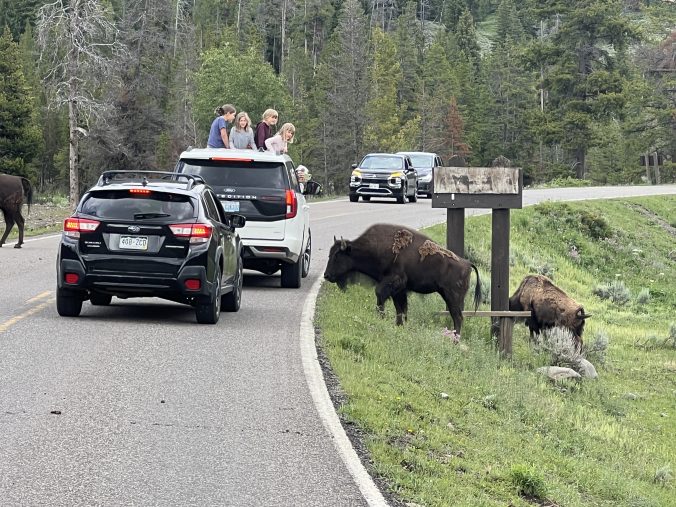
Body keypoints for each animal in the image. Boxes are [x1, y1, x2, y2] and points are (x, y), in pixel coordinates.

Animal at [323, 223, 481, 333]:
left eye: (337, 255)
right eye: (330, 254)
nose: (326, 275)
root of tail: (467, 263)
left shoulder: (393, 282)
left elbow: (381, 296)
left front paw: (381, 317)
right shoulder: (399, 291)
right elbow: (401, 308)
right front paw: (400, 325)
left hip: (452, 297)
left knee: (458, 317)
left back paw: (455, 340)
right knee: (458, 317)